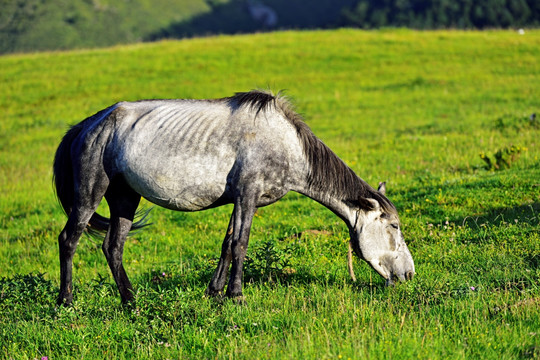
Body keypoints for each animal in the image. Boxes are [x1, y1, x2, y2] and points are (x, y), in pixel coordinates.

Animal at [52, 89, 416, 304]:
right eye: (394, 227)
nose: (409, 274)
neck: (285, 144)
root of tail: (87, 125)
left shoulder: (240, 199)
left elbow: (227, 243)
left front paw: (215, 292)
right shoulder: (248, 195)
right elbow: (241, 243)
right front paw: (237, 295)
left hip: (125, 198)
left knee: (113, 247)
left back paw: (131, 302)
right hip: (91, 192)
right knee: (69, 239)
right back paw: (65, 301)